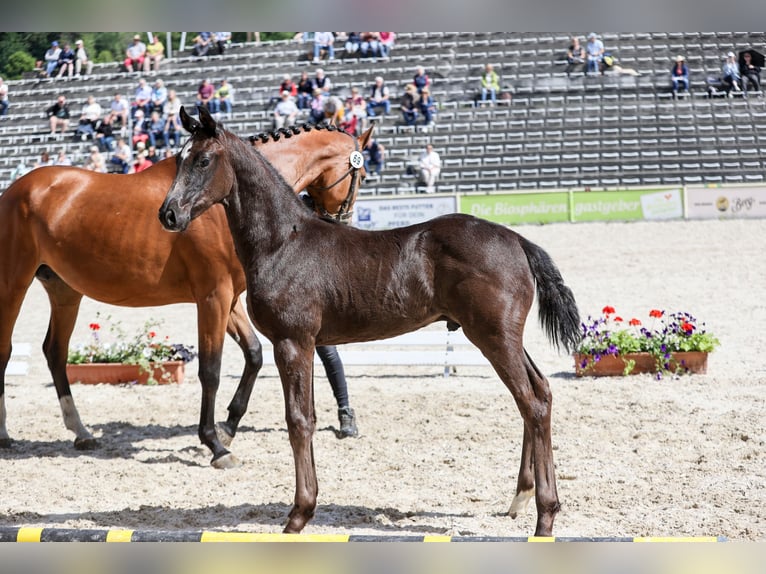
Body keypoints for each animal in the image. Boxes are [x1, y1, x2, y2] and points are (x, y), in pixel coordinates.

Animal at [0, 122, 374, 469]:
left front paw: (227, 427)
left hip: (64, 290)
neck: (222, 201)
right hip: (12, 285)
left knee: (55, 352)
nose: (341, 222)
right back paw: (5, 434)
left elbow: (253, 354)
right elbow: (211, 370)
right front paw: (216, 445)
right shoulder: (213, 296)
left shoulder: (229, 298)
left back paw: (81, 432)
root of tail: (14, 189)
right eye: (363, 174)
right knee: (6, 351)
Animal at [158, 106, 581, 536]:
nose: (168, 214)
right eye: (179, 160)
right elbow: (307, 417)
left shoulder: (292, 342)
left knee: (531, 402)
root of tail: (518, 240)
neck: (284, 242)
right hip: (503, 337)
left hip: (493, 336)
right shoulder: (305, 344)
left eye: (203, 160)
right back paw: (521, 497)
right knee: (539, 392)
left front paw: (299, 515)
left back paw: (544, 517)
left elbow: (299, 421)